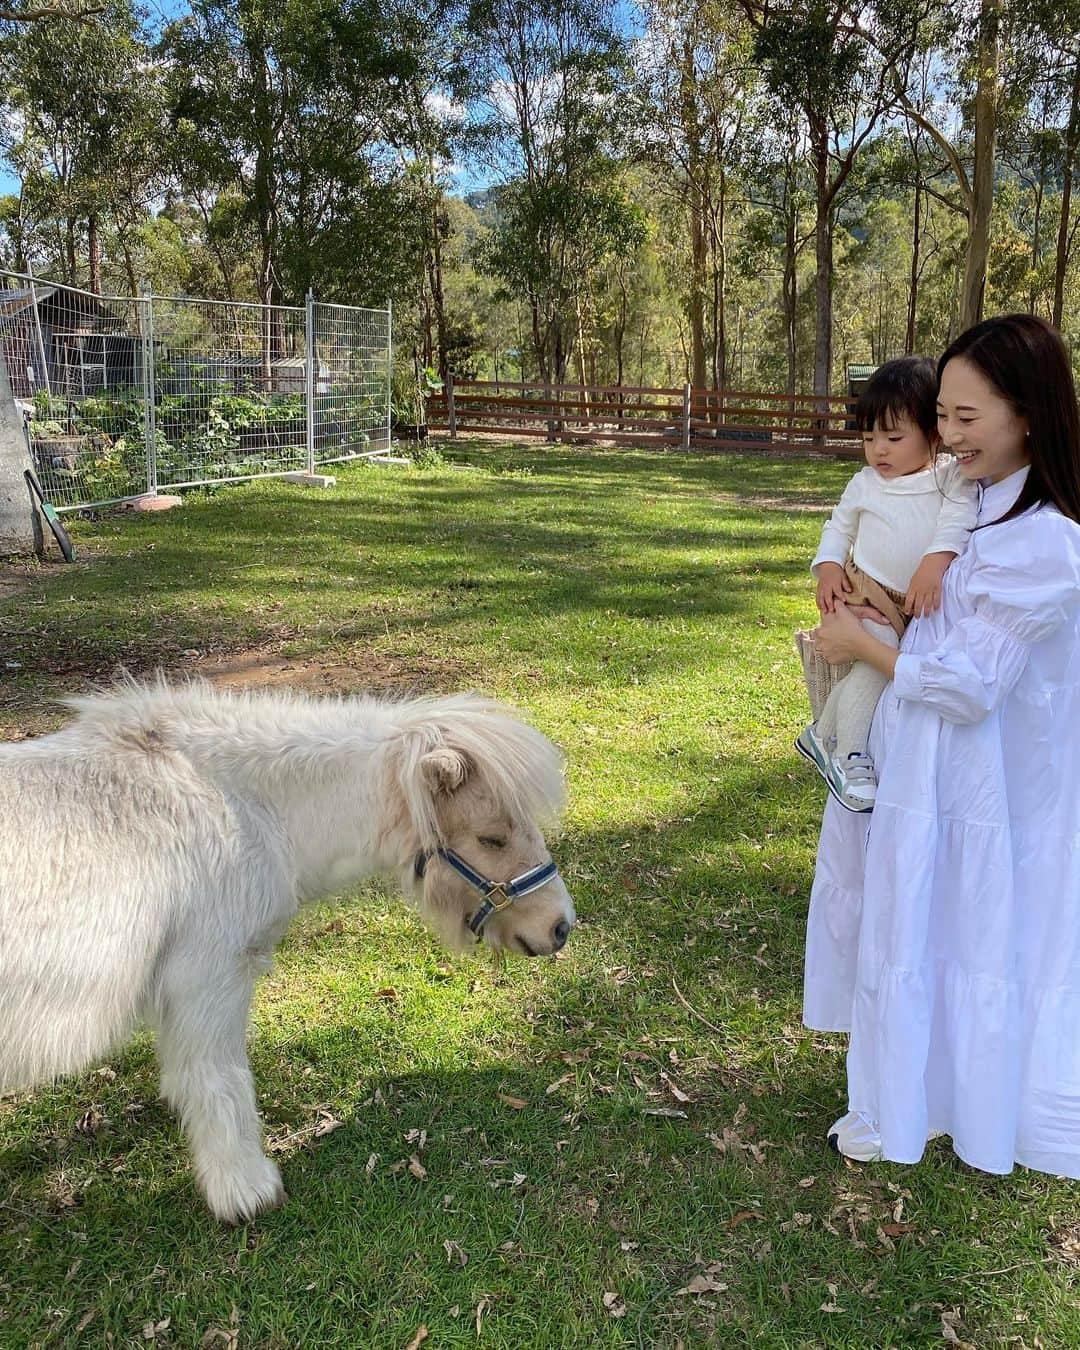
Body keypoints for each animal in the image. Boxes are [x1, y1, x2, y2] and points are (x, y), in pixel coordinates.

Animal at [0, 680, 572, 1220]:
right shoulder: (209, 980)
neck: (242, 809)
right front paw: (246, 1191)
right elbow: (219, 1080)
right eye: (492, 838)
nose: (561, 926)